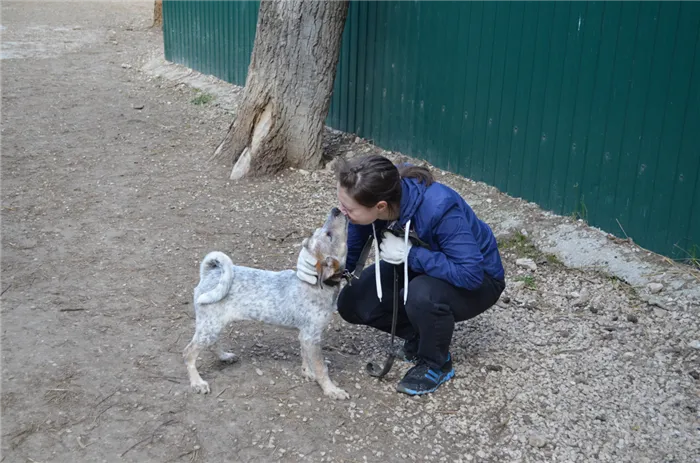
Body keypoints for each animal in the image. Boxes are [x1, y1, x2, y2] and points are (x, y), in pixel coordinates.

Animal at [183, 208, 350, 400]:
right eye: (328, 235)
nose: (336, 209)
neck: (315, 283)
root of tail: (209, 273)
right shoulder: (312, 336)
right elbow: (322, 369)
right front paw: (331, 390)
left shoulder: (305, 336)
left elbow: (305, 356)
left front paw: (308, 372)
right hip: (209, 327)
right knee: (188, 353)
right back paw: (198, 382)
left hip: (214, 325)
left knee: (212, 343)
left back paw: (224, 356)